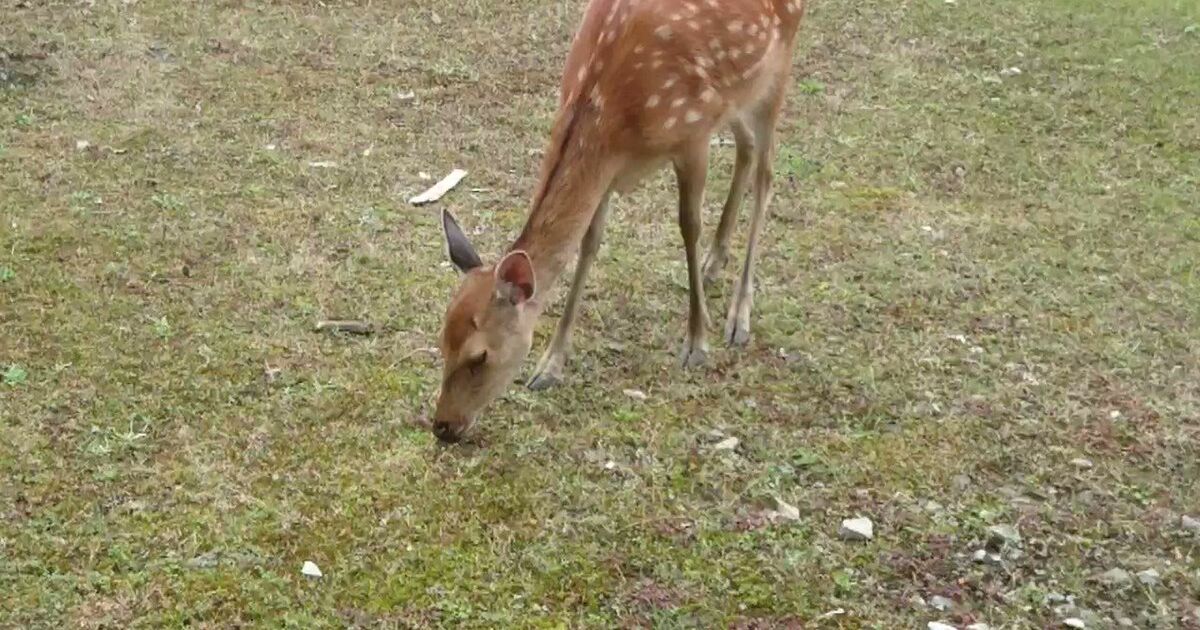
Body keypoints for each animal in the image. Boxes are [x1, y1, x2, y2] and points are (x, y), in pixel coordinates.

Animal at [432, 0, 806, 441]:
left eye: (480, 357)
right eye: (443, 340)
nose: (442, 426)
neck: (616, 115)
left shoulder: (693, 134)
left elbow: (688, 226)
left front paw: (697, 342)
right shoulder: (610, 169)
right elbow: (589, 243)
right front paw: (550, 365)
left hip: (778, 67)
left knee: (766, 174)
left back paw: (738, 316)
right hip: (739, 93)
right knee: (745, 147)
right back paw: (716, 262)